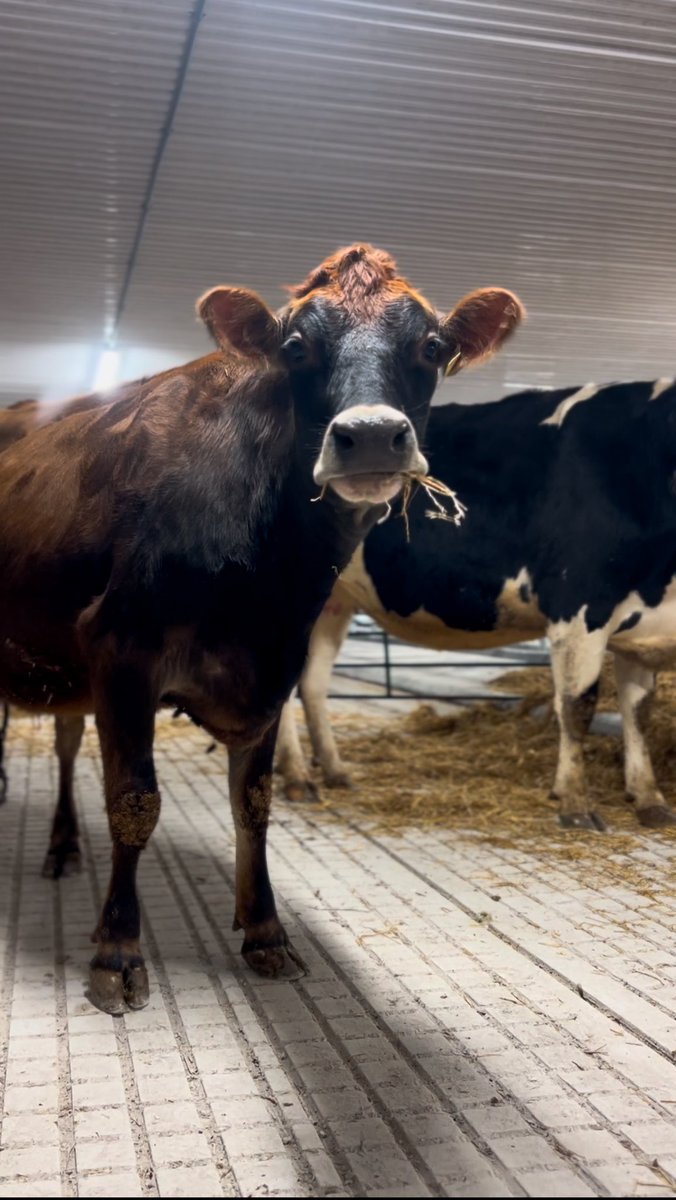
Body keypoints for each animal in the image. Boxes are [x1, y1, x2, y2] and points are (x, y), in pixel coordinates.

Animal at [0, 244, 523, 1012]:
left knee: (66, 742)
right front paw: (118, 950)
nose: (371, 436)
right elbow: (134, 802)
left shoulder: (274, 666)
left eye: (431, 347)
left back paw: (63, 846)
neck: (268, 583)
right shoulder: (121, 650)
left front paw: (265, 931)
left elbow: (254, 804)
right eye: (296, 346)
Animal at [275, 379, 676, 833]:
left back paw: (334, 771)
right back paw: (297, 777)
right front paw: (575, 804)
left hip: (334, 603)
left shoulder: (642, 628)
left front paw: (649, 799)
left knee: (313, 683)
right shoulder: (577, 607)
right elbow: (578, 708)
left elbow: (639, 714)